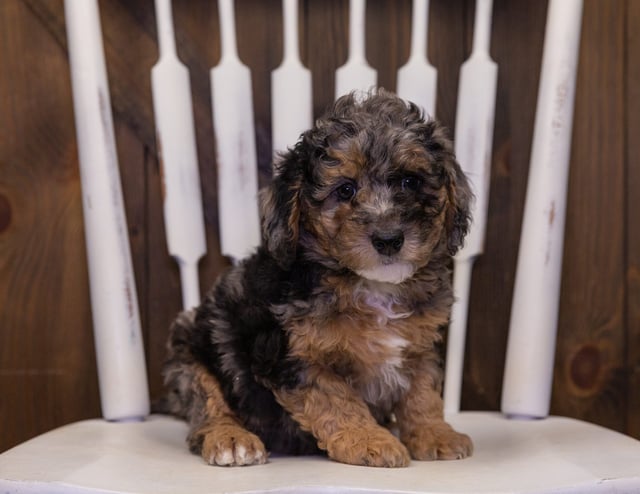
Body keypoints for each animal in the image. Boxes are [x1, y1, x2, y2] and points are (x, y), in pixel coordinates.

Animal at [164, 88, 476, 466]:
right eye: (345, 190)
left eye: (410, 181)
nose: (388, 239)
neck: (369, 283)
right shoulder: (294, 356)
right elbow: (336, 399)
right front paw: (370, 440)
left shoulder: (422, 345)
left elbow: (423, 393)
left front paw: (435, 434)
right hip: (193, 354)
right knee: (207, 402)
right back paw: (231, 439)